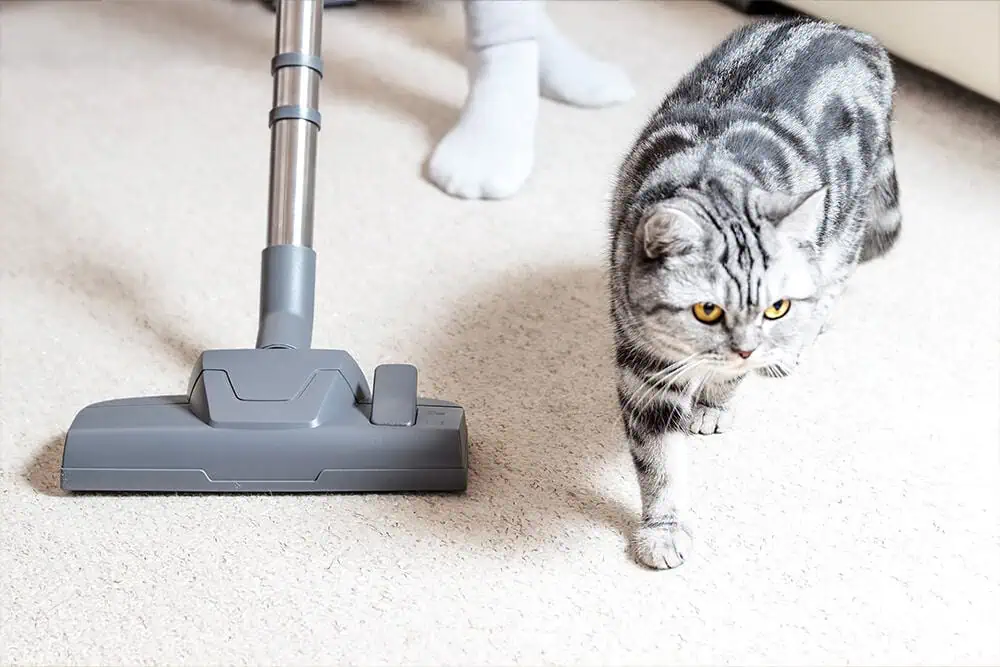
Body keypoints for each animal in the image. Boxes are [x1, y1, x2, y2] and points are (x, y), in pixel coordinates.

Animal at [604, 17, 904, 568]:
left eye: (776, 307)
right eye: (707, 310)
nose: (748, 348)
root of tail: (850, 30)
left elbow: (728, 383)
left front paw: (715, 403)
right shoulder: (644, 366)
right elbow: (660, 461)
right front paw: (663, 527)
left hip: (845, 225)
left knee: (833, 281)